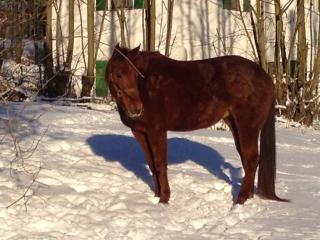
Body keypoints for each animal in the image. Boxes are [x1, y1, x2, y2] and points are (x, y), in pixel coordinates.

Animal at [105, 44, 288, 203]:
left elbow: (160, 164)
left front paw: (164, 199)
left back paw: (240, 200)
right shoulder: (140, 132)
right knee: (247, 160)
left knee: (251, 160)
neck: (148, 85)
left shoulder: (157, 131)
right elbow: (151, 164)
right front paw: (156, 196)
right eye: (119, 74)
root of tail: (266, 77)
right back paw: (248, 196)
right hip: (236, 126)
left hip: (248, 127)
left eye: (135, 75)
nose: (136, 109)